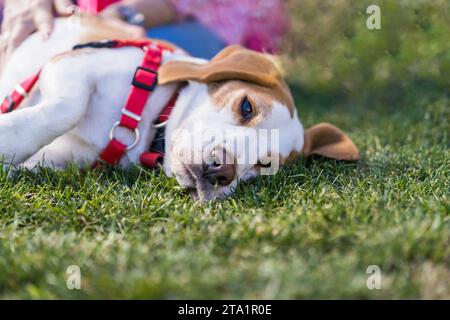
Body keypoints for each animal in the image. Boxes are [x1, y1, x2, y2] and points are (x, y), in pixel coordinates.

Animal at [0, 16, 358, 201]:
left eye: (264, 164)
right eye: (246, 107)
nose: (223, 171)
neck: (151, 122)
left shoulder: (68, 156)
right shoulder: (71, 64)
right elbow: (65, 109)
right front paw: (8, 136)